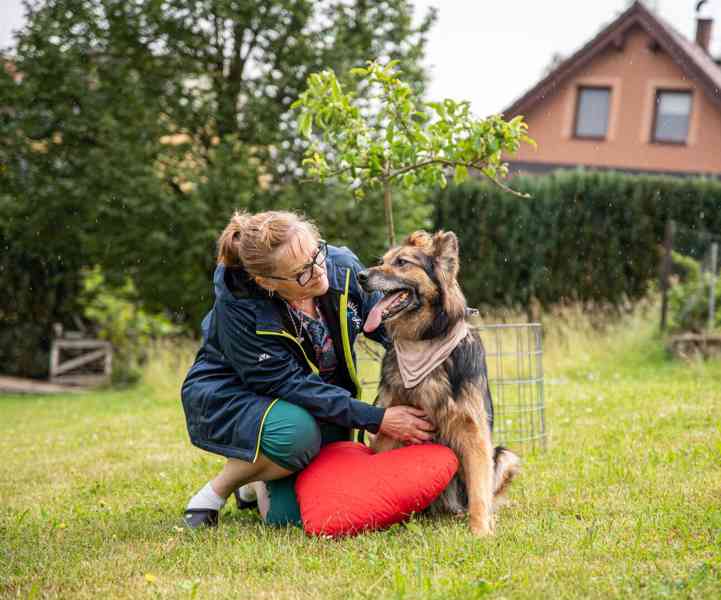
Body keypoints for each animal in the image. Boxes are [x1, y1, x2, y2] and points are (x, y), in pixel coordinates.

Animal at [358, 231, 516, 540]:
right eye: (381, 261)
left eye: (402, 262)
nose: (360, 276)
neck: (424, 340)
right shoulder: (389, 428)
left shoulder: (473, 432)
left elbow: (479, 493)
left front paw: (481, 531)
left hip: (505, 456)